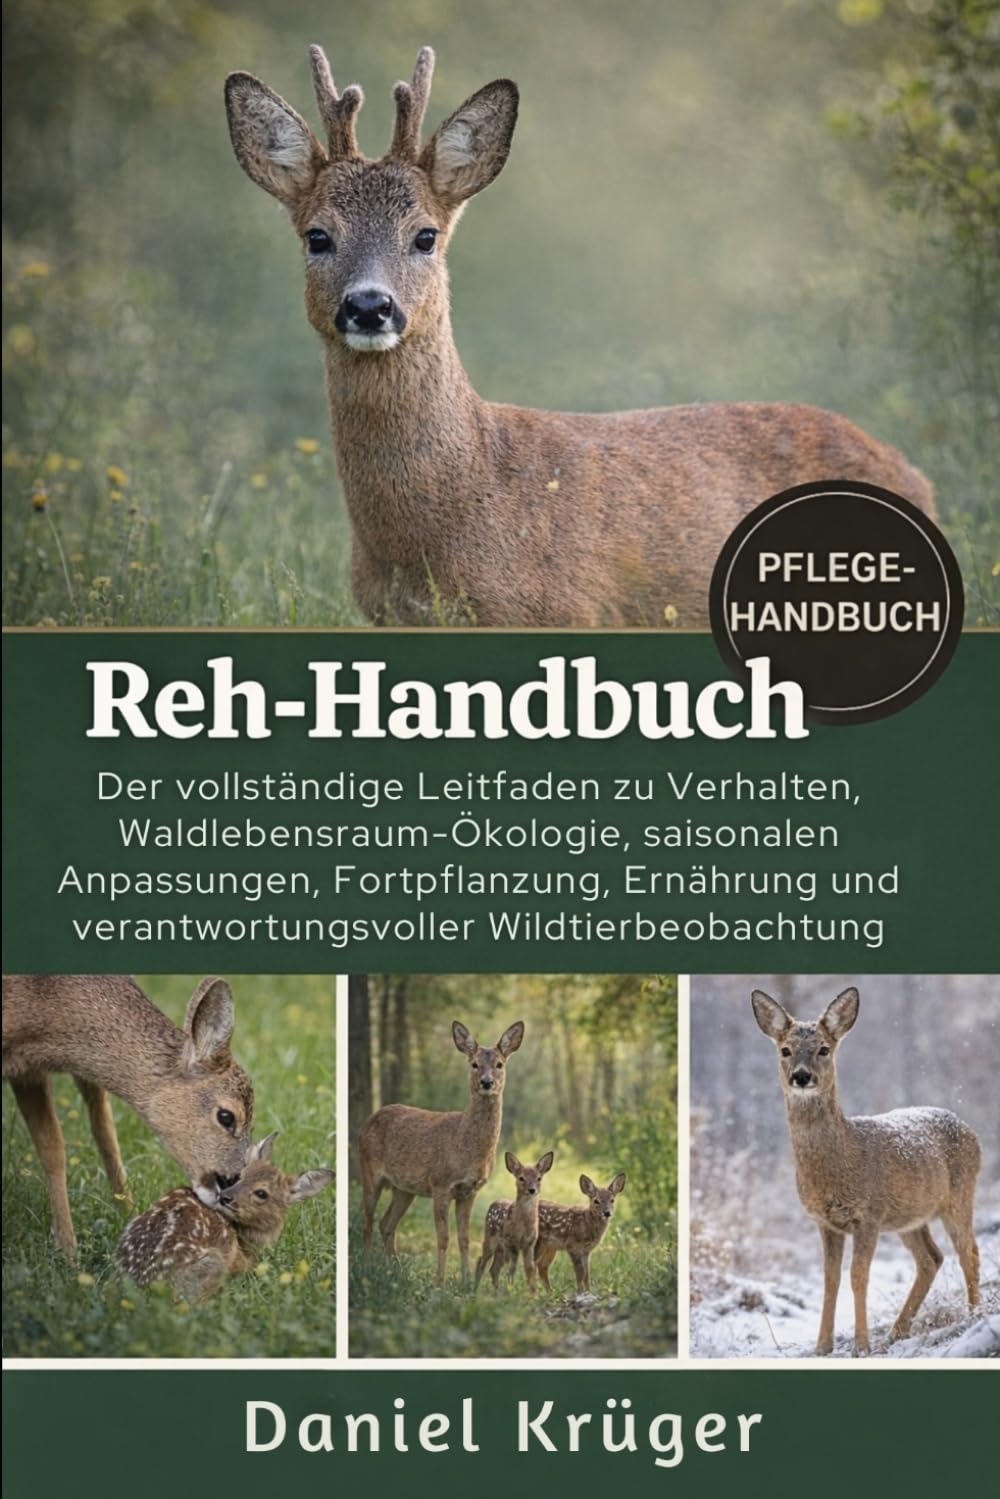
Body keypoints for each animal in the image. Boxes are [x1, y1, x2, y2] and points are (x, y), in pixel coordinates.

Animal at [1, 974, 254, 1257]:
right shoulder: (28, 1069)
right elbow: (54, 1149)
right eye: (226, 1116)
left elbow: (100, 1132)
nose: (231, 1182)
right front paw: (68, 1250)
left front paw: (128, 1213)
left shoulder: (32, 1070)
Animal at [359, 1019, 524, 1285]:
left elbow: (465, 1239)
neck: (465, 1146)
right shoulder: (440, 1184)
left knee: (386, 1224)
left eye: (500, 1064)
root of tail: (368, 1120)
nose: (486, 1082)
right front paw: (439, 1283)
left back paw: (395, 1271)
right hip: (369, 1172)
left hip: (404, 1189)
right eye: (474, 1064)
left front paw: (465, 1281)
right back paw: (366, 1266)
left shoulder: (470, 1191)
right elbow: (444, 1237)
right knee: (369, 1222)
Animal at [474, 1149, 554, 1292]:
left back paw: (496, 1291)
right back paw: (474, 1290)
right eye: (521, 1178)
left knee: (494, 1269)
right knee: (481, 1261)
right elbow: (512, 1269)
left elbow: (530, 1268)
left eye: (539, 1178)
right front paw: (510, 1290)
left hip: (500, 1248)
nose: (532, 1190)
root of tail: (493, 1203)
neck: (523, 1226)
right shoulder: (511, 1242)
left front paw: (533, 1292)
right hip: (490, 1239)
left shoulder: (530, 1243)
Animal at [751, 986, 982, 1356]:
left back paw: (973, 1316)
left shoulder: (869, 1214)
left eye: (824, 1049)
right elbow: (830, 1280)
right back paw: (897, 1331)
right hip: (909, 1216)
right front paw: (822, 1346)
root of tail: (968, 1128)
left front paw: (860, 1346)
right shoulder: (826, 1222)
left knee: (969, 1252)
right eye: (785, 1049)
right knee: (931, 1259)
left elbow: (858, 1276)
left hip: (960, 1195)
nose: (801, 1076)